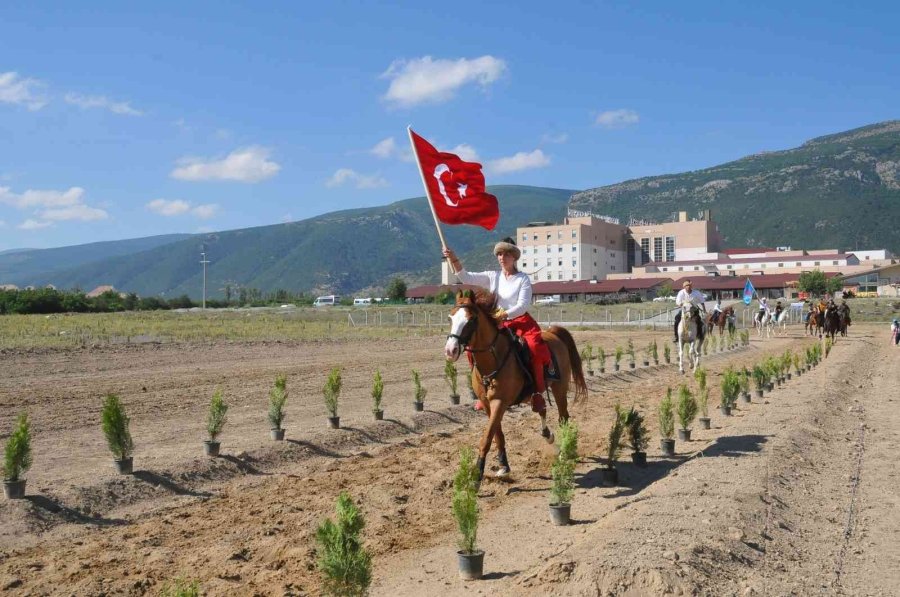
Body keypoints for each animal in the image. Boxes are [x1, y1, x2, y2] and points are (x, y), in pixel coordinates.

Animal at [444, 288, 592, 484]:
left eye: (471, 319)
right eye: (450, 318)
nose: (450, 350)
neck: (493, 360)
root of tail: (553, 333)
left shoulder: (500, 402)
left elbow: (487, 437)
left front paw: (476, 476)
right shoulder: (487, 404)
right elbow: (497, 435)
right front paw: (503, 466)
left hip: (559, 388)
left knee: (563, 417)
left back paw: (564, 452)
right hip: (536, 394)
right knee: (542, 409)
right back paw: (548, 435)